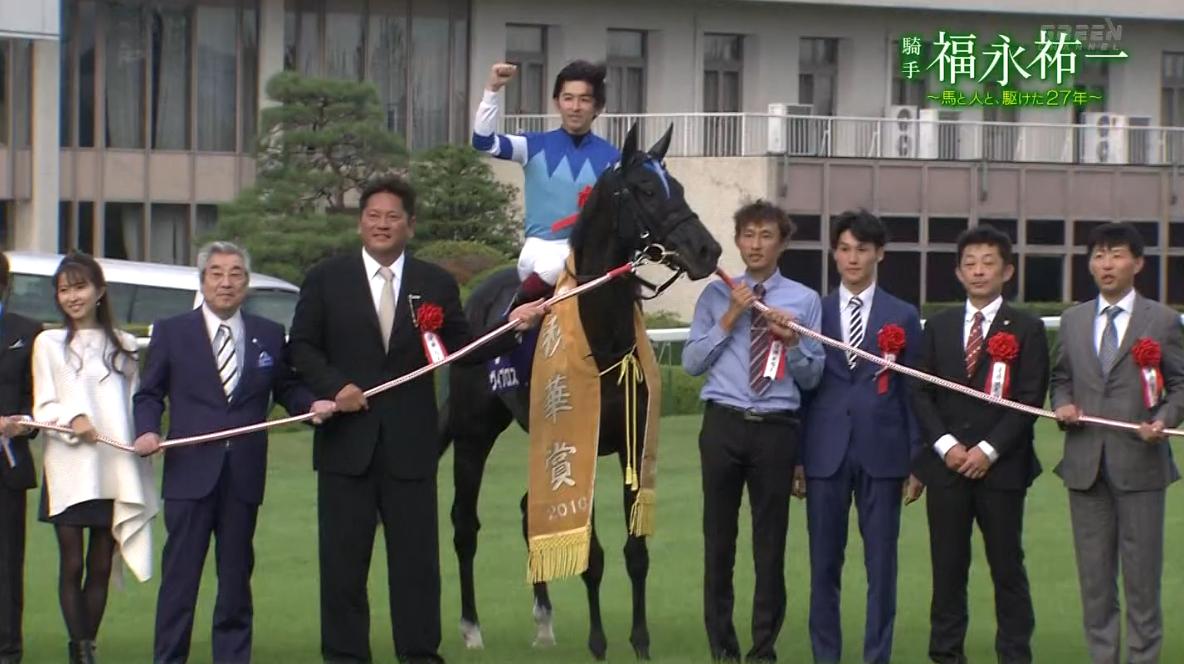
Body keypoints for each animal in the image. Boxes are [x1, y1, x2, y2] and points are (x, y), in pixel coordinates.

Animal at [438, 123, 722, 660]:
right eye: (646, 190)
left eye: (679, 188)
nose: (708, 251)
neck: (602, 339)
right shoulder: (580, 440)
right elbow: (592, 554)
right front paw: (598, 641)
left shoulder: (631, 441)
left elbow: (636, 550)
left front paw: (640, 641)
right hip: (473, 432)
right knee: (464, 523)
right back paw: (470, 627)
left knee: (529, 509)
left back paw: (544, 619)